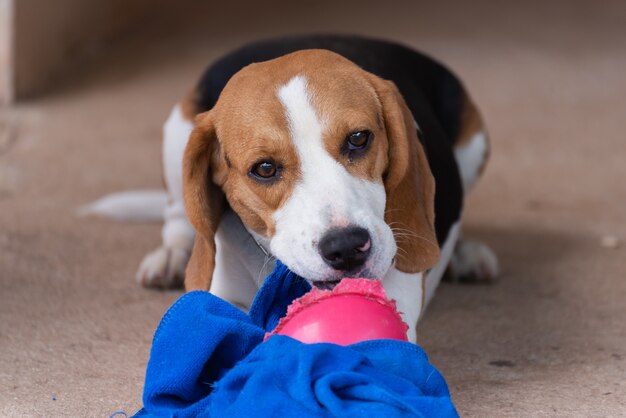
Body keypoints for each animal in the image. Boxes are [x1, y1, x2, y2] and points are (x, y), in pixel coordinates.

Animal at [134, 35, 494, 342]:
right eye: (264, 168)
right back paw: (171, 256)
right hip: (178, 131)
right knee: (177, 216)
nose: (346, 247)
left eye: (358, 138)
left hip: (474, 142)